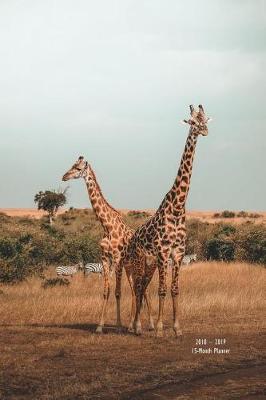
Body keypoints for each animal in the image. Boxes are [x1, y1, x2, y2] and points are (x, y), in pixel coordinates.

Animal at [61, 158, 154, 332]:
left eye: (78, 168)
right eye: (72, 165)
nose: (64, 176)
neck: (107, 226)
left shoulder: (117, 259)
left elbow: (118, 292)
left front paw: (117, 325)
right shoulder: (105, 258)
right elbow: (106, 291)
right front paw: (100, 326)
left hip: (140, 265)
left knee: (143, 290)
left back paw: (149, 324)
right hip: (130, 268)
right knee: (135, 291)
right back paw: (131, 325)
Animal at [121, 104, 211, 336]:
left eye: (205, 119)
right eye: (193, 122)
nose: (205, 130)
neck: (178, 207)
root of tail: (132, 237)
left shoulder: (178, 252)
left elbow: (175, 289)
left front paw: (177, 328)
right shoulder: (163, 252)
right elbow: (161, 290)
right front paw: (161, 329)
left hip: (150, 264)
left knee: (142, 286)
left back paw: (138, 326)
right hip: (140, 260)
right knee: (138, 287)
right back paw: (136, 327)